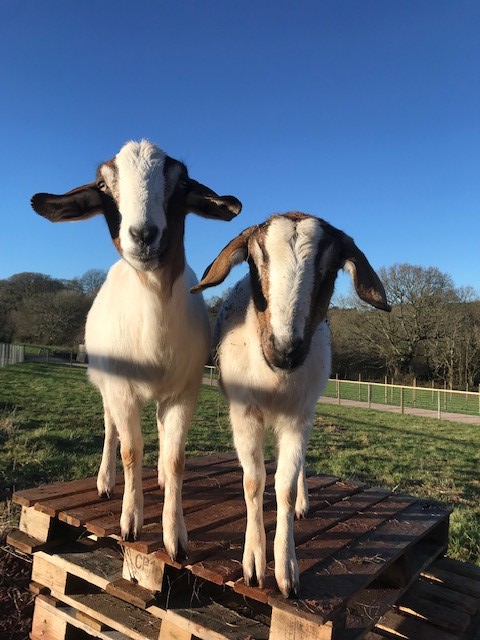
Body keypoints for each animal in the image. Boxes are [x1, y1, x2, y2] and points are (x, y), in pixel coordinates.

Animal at [30, 138, 242, 556]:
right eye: (102, 185)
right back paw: (106, 482)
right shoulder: (122, 389)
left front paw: (175, 537)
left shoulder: (184, 391)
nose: (143, 235)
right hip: (106, 385)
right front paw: (130, 523)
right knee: (111, 428)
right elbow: (130, 451)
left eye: (182, 182)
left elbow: (176, 459)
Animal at [191, 212, 390, 596]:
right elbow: (253, 481)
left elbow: (284, 484)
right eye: (254, 262)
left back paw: (302, 503)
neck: (275, 375)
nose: (285, 348)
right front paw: (254, 565)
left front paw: (286, 570)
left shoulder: (299, 416)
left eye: (330, 270)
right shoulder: (245, 414)